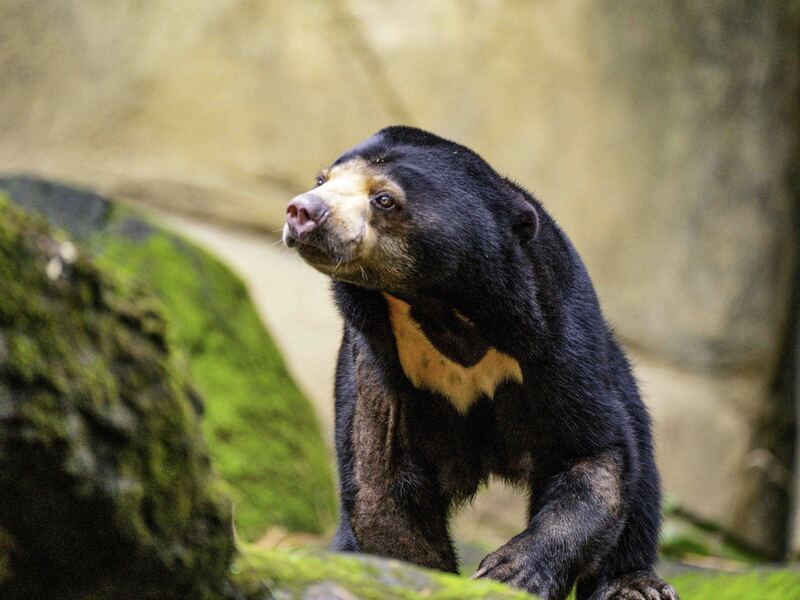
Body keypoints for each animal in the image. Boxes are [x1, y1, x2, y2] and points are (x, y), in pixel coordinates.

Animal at [282, 127, 676, 600]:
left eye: (385, 199)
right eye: (321, 179)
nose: (302, 211)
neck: (442, 308)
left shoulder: (553, 338)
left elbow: (594, 452)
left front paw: (510, 573)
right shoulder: (377, 358)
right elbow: (380, 480)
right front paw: (423, 579)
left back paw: (634, 585)